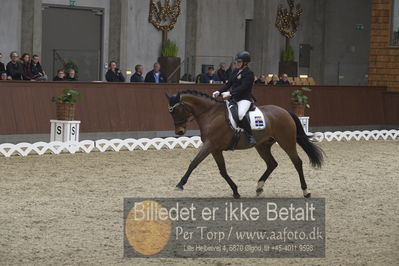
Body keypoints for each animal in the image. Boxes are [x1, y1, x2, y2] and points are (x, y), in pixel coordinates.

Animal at [166, 90, 324, 198]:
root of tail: (285, 111)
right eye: (171, 112)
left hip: (287, 142)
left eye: (177, 110)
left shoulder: (210, 145)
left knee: (297, 162)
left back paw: (306, 191)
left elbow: (194, 163)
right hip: (262, 145)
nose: (179, 132)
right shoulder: (215, 149)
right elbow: (222, 171)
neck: (210, 114)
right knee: (272, 163)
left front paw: (180, 184)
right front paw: (235, 191)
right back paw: (259, 187)